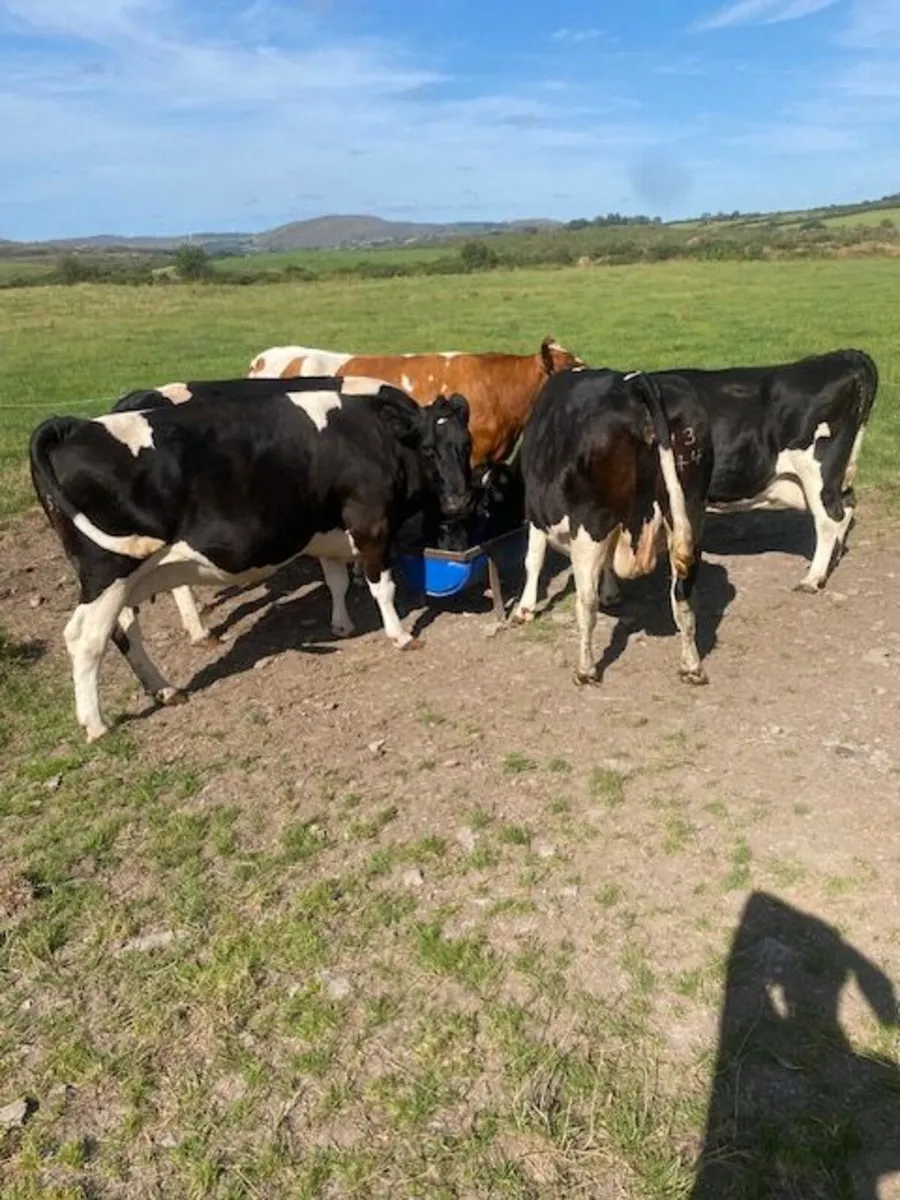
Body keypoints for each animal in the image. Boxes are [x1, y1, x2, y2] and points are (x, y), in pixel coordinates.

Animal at [29, 376, 473, 742]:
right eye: (429, 450)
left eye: (465, 445)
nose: (458, 500)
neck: (374, 433)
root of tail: (74, 426)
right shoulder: (370, 522)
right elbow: (383, 586)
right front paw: (399, 635)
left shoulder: (326, 525)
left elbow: (337, 579)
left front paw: (342, 624)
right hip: (108, 571)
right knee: (86, 640)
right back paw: (96, 723)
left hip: (122, 577)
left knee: (120, 630)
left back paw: (165, 689)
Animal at [511, 368, 714, 687]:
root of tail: (639, 384)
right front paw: (612, 592)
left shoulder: (535, 512)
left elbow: (533, 559)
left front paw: (524, 608)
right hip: (692, 513)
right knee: (684, 596)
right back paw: (692, 666)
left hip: (590, 522)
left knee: (586, 603)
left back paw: (585, 670)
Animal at [596, 349, 878, 607]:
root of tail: (846, 356)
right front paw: (610, 593)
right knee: (847, 505)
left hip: (817, 469)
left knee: (830, 517)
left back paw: (813, 579)